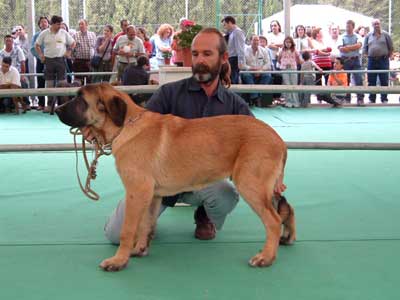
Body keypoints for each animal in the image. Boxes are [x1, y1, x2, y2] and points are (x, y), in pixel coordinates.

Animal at [54, 82, 296, 272]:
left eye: (80, 99)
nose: (56, 109)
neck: (125, 125)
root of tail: (277, 139)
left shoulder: (137, 192)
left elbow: (128, 229)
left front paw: (119, 261)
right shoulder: (151, 196)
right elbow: (145, 224)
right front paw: (139, 249)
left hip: (250, 184)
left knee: (273, 221)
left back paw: (265, 257)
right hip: (265, 188)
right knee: (285, 209)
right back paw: (288, 238)